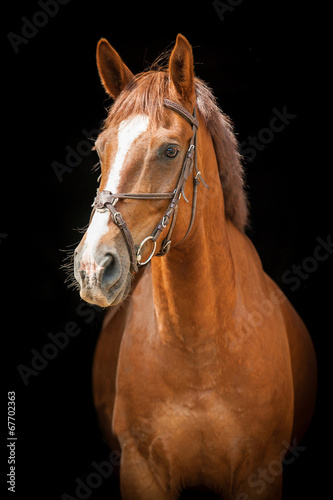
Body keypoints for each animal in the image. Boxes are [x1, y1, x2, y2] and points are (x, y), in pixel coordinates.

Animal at [73, 33, 316, 498]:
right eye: (100, 149)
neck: (200, 350)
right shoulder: (142, 472)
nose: (94, 267)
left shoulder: (260, 474)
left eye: (170, 151)